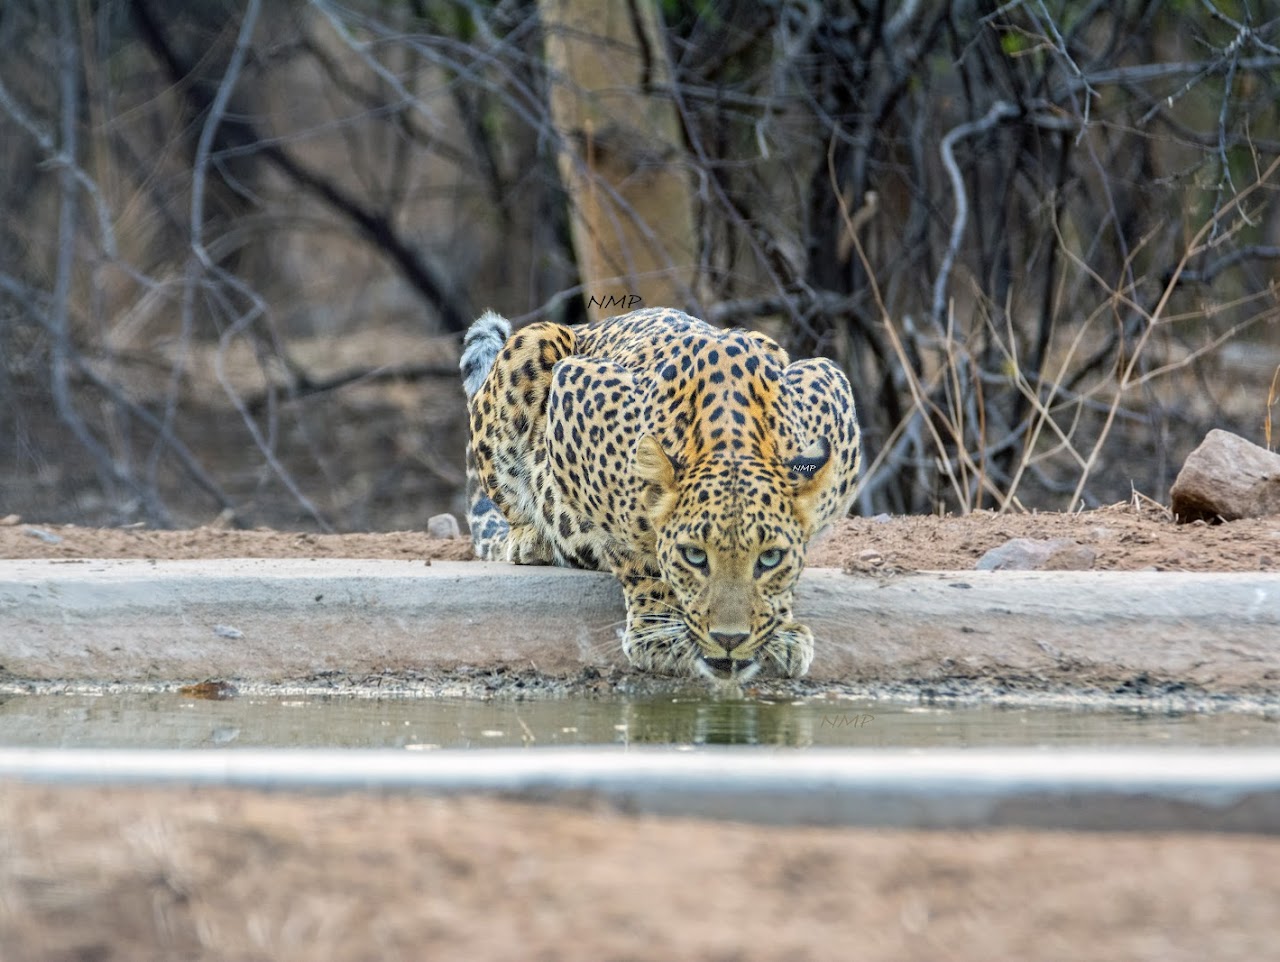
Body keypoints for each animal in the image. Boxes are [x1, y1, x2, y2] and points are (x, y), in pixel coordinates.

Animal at [459, 306, 861, 682]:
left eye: (769, 558)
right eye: (695, 557)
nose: (730, 640)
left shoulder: (830, 383)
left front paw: (779, 631)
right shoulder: (576, 388)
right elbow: (635, 551)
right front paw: (661, 633)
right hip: (532, 343)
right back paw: (531, 539)